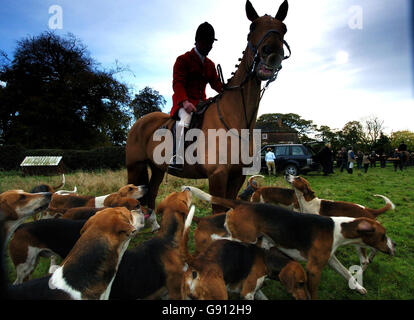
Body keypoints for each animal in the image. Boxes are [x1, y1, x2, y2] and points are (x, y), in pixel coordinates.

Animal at [126, 1, 292, 215]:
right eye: (252, 26)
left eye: (284, 28)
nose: (271, 54)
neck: (237, 119)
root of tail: (139, 122)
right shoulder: (217, 175)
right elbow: (218, 212)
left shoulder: (237, 176)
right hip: (134, 167)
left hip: (156, 168)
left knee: (152, 194)